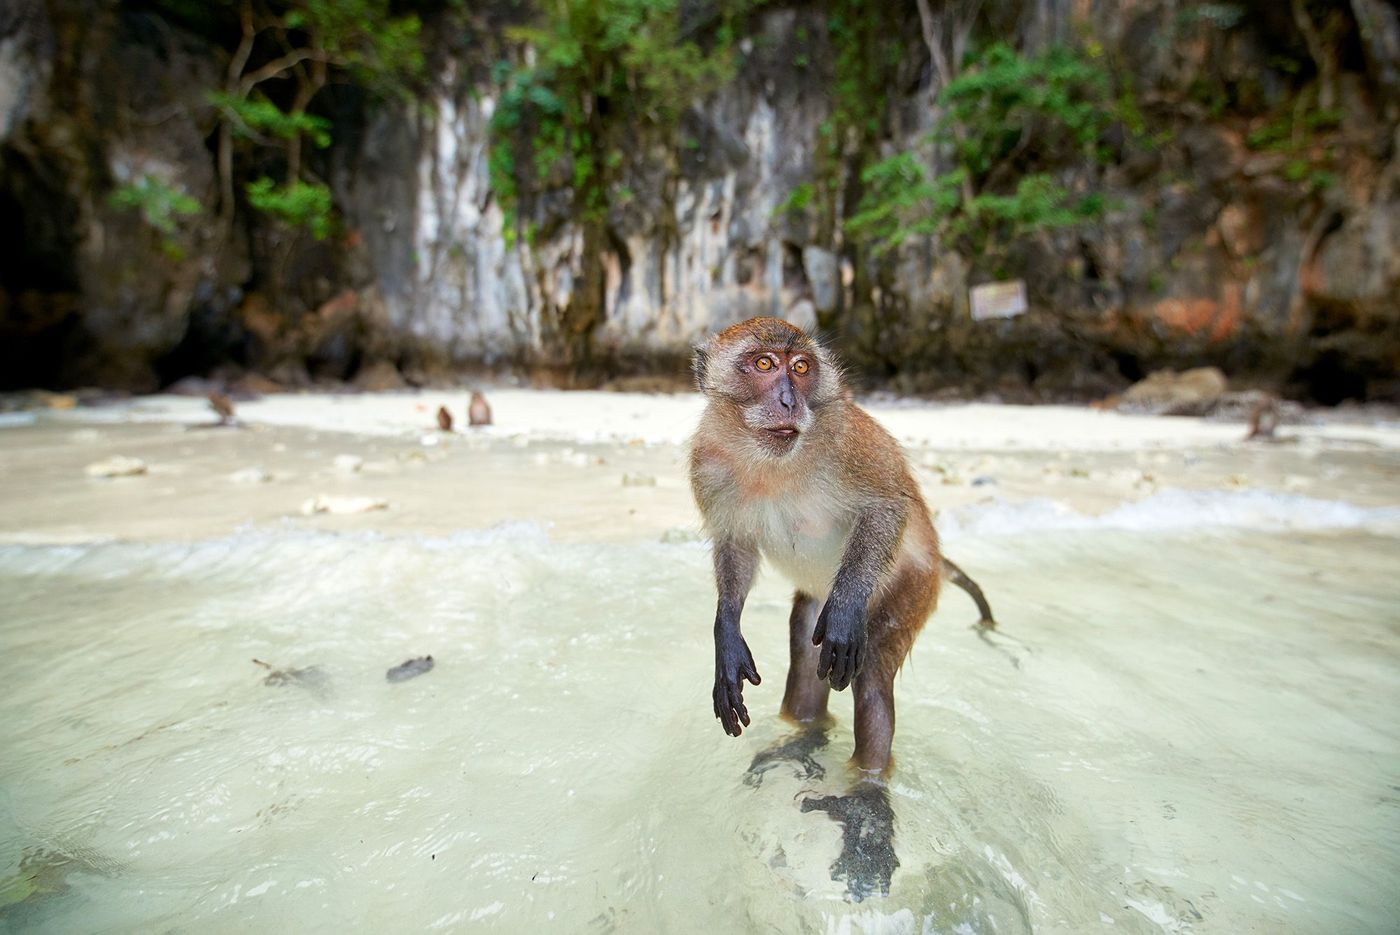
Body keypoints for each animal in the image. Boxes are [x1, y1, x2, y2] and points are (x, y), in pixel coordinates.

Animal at [690, 317, 988, 774]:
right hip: (816, 605)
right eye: (764, 363)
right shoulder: (707, 464)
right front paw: (726, 634)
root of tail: (937, 562)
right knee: (806, 665)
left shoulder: (847, 439)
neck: (769, 460)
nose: (789, 401)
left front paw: (846, 610)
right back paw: (802, 737)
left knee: (873, 676)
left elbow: (885, 506)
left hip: (911, 588)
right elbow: (734, 544)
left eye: (800, 367)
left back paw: (866, 779)